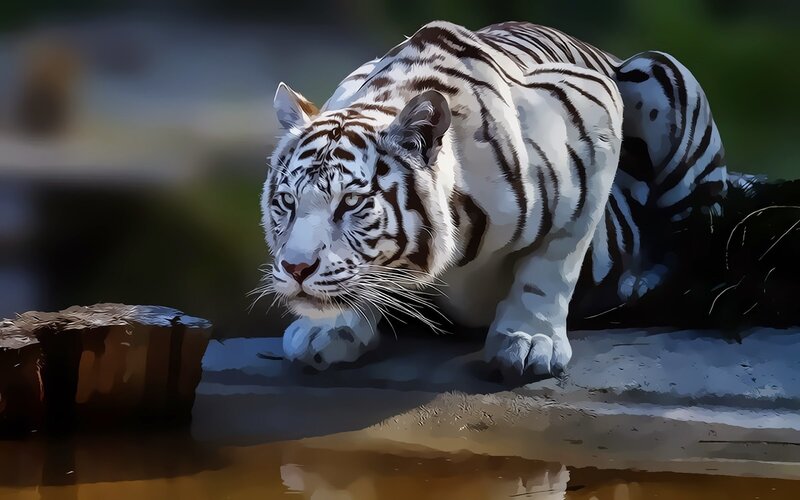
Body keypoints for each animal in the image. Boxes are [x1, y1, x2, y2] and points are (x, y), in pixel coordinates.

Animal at [259, 20, 728, 381]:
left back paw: (638, 282)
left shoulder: (595, 116)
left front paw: (530, 341)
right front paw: (328, 328)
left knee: (694, 241)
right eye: (287, 203)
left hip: (661, 76)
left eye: (350, 204)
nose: (296, 269)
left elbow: (554, 260)